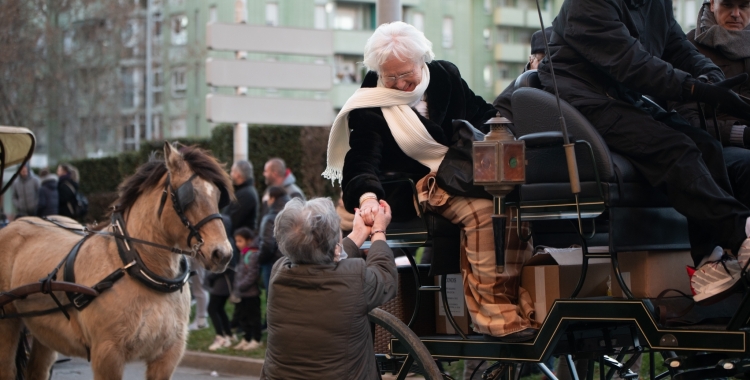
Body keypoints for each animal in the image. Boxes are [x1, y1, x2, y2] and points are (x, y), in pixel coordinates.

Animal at [0, 143, 235, 380]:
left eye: (217, 196)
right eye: (189, 196)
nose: (222, 254)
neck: (135, 267)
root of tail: (16, 223)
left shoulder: (167, 355)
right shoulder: (107, 354)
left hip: (44, 333)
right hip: (8, 322)